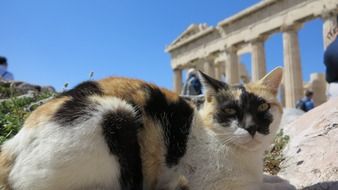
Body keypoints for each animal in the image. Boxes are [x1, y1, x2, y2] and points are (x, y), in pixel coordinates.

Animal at [0, 67, 294, 190]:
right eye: (231, 111)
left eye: (263, 107)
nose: (251, 127)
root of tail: (13, 144)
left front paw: (274, 179)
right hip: (115, 116)